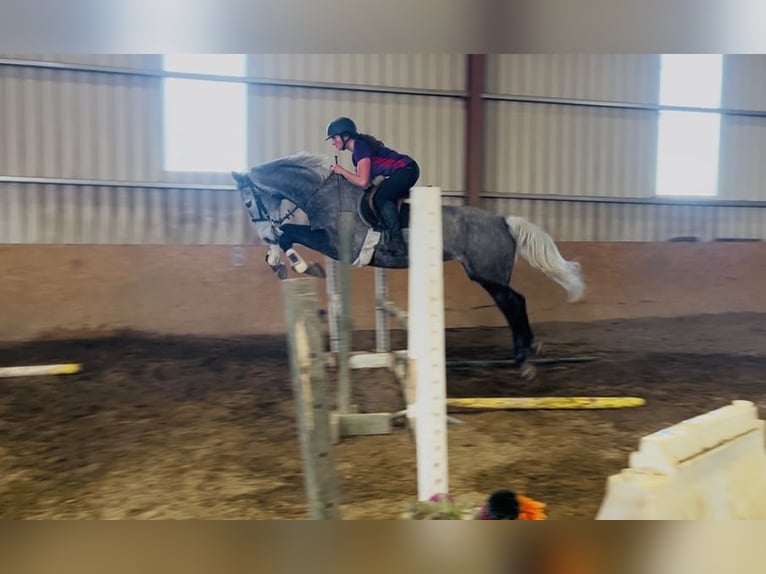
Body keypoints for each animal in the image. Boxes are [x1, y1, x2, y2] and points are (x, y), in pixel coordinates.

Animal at [231, 152, 585, 377]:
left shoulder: (336, 246)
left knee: (514, 303)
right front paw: (277, 261)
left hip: (487, 276)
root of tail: (503, 221)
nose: (264, 232)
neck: (324, 194)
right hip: (487, 275)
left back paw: (525, 359)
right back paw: (525, 352)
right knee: (514, 303)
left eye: (248, 202)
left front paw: (300, 266)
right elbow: (287, 235)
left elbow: (290, 233)